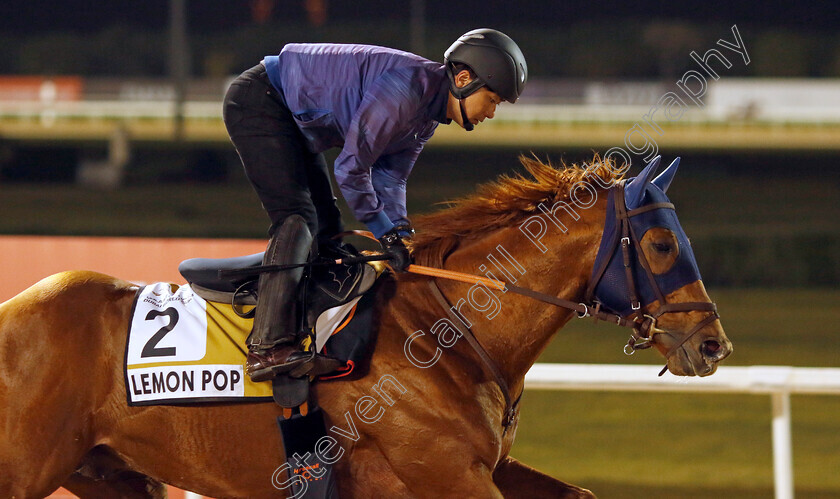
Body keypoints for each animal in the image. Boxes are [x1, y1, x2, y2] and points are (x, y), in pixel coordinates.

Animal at [1, 155, 728, 496]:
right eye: (662, 244)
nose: (712, 343)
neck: (450, 329)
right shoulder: (447, 476)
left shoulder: (487, 466)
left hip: (111, 473)